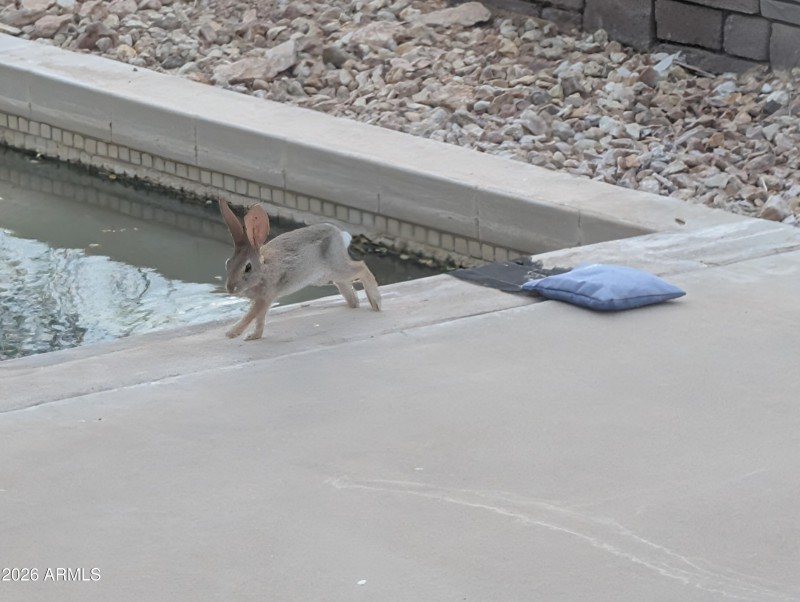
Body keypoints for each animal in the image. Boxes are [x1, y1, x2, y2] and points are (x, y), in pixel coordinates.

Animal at [218, 199, 381, 340]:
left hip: (337, 267)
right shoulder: (264, 301)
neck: (263, 269)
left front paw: (231, 333)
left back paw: (376, 303)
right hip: (328, 276)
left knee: (361, 267)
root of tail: (340, 234)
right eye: (228, 263)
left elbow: (251, 315)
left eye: (248, 267)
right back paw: (354, 304)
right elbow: (260, 319)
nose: (230, 289)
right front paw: (253, 336)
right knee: (349, 290)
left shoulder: (265, 297)